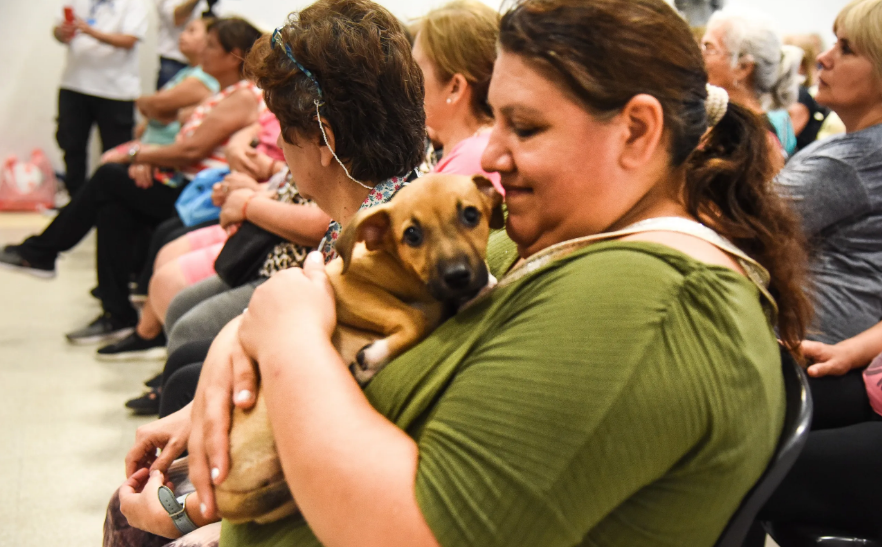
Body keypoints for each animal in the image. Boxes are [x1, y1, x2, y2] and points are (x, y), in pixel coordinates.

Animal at [212, 173, 502, 524]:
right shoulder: (344, 286)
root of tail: (225, 497)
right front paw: (373, 359)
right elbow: (413, 318)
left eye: (471, 215)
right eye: (412, 235)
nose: (459, 277)